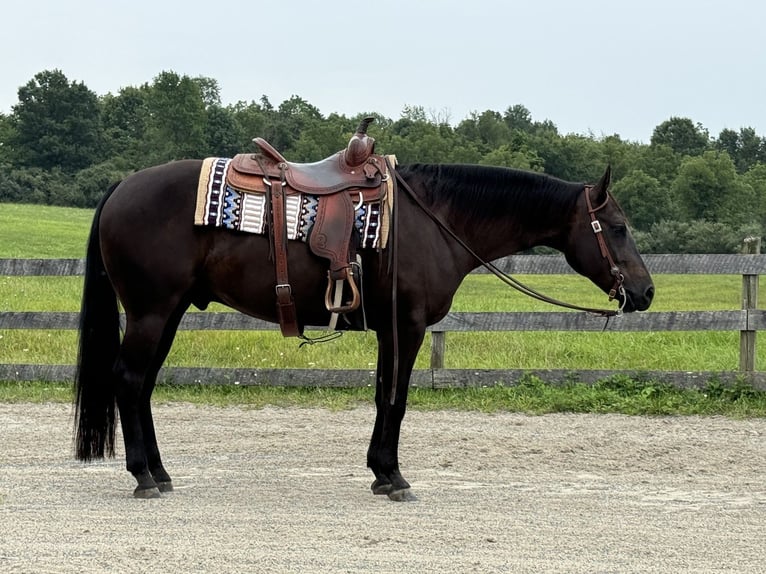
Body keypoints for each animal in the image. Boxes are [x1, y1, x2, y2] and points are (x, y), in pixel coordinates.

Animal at [75, 160, 656, 502]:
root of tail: (122, 187)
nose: (646, 292)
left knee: (143, 386)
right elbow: (395, 399)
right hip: (152, 312)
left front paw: (380, 472)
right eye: (619, 227)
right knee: (129, 380)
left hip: (168, 313)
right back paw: (143, 477)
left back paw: (160, 473)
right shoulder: (407, 326)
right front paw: (393, 477)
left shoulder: (390, 331)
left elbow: (382, 396)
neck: (433, 221)